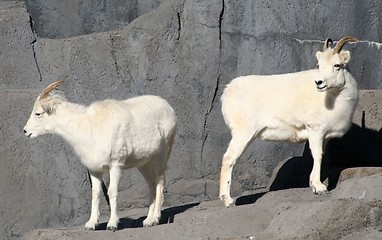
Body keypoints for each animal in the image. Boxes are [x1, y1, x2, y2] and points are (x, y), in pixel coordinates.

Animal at [22, 81, 175, 231]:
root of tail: (169, 108)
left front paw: (112, 224)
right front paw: (91, 224)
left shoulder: (115, 166)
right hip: (144, 163)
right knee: (151, 184)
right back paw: (147, 221)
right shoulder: (94, 170)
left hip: (161, 155)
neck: (89, 128)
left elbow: (112, 192)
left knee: (159, 182)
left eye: (38, 113)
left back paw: (155, 219)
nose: (25, 131)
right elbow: (95, 194)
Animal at [219, 35, 360, 206]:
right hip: (243, 133)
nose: (319, 83)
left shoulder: (324, 136)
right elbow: (317, 155)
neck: (334, 99)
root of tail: (228, 91)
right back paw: (227, 200)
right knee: (228, 159)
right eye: (319, 65)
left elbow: (321, 155)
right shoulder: (315, 130)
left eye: (337, 65)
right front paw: (319, 188)